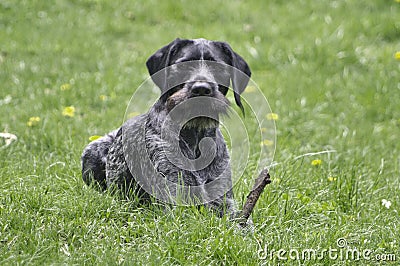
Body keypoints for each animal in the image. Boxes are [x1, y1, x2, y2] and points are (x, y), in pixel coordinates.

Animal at [81, 38, 250, 217]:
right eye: (183, 65)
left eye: (217, 67)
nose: (201, 88)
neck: (194, 137)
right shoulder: (174, 203)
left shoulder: (224, 203)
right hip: (92, 149)